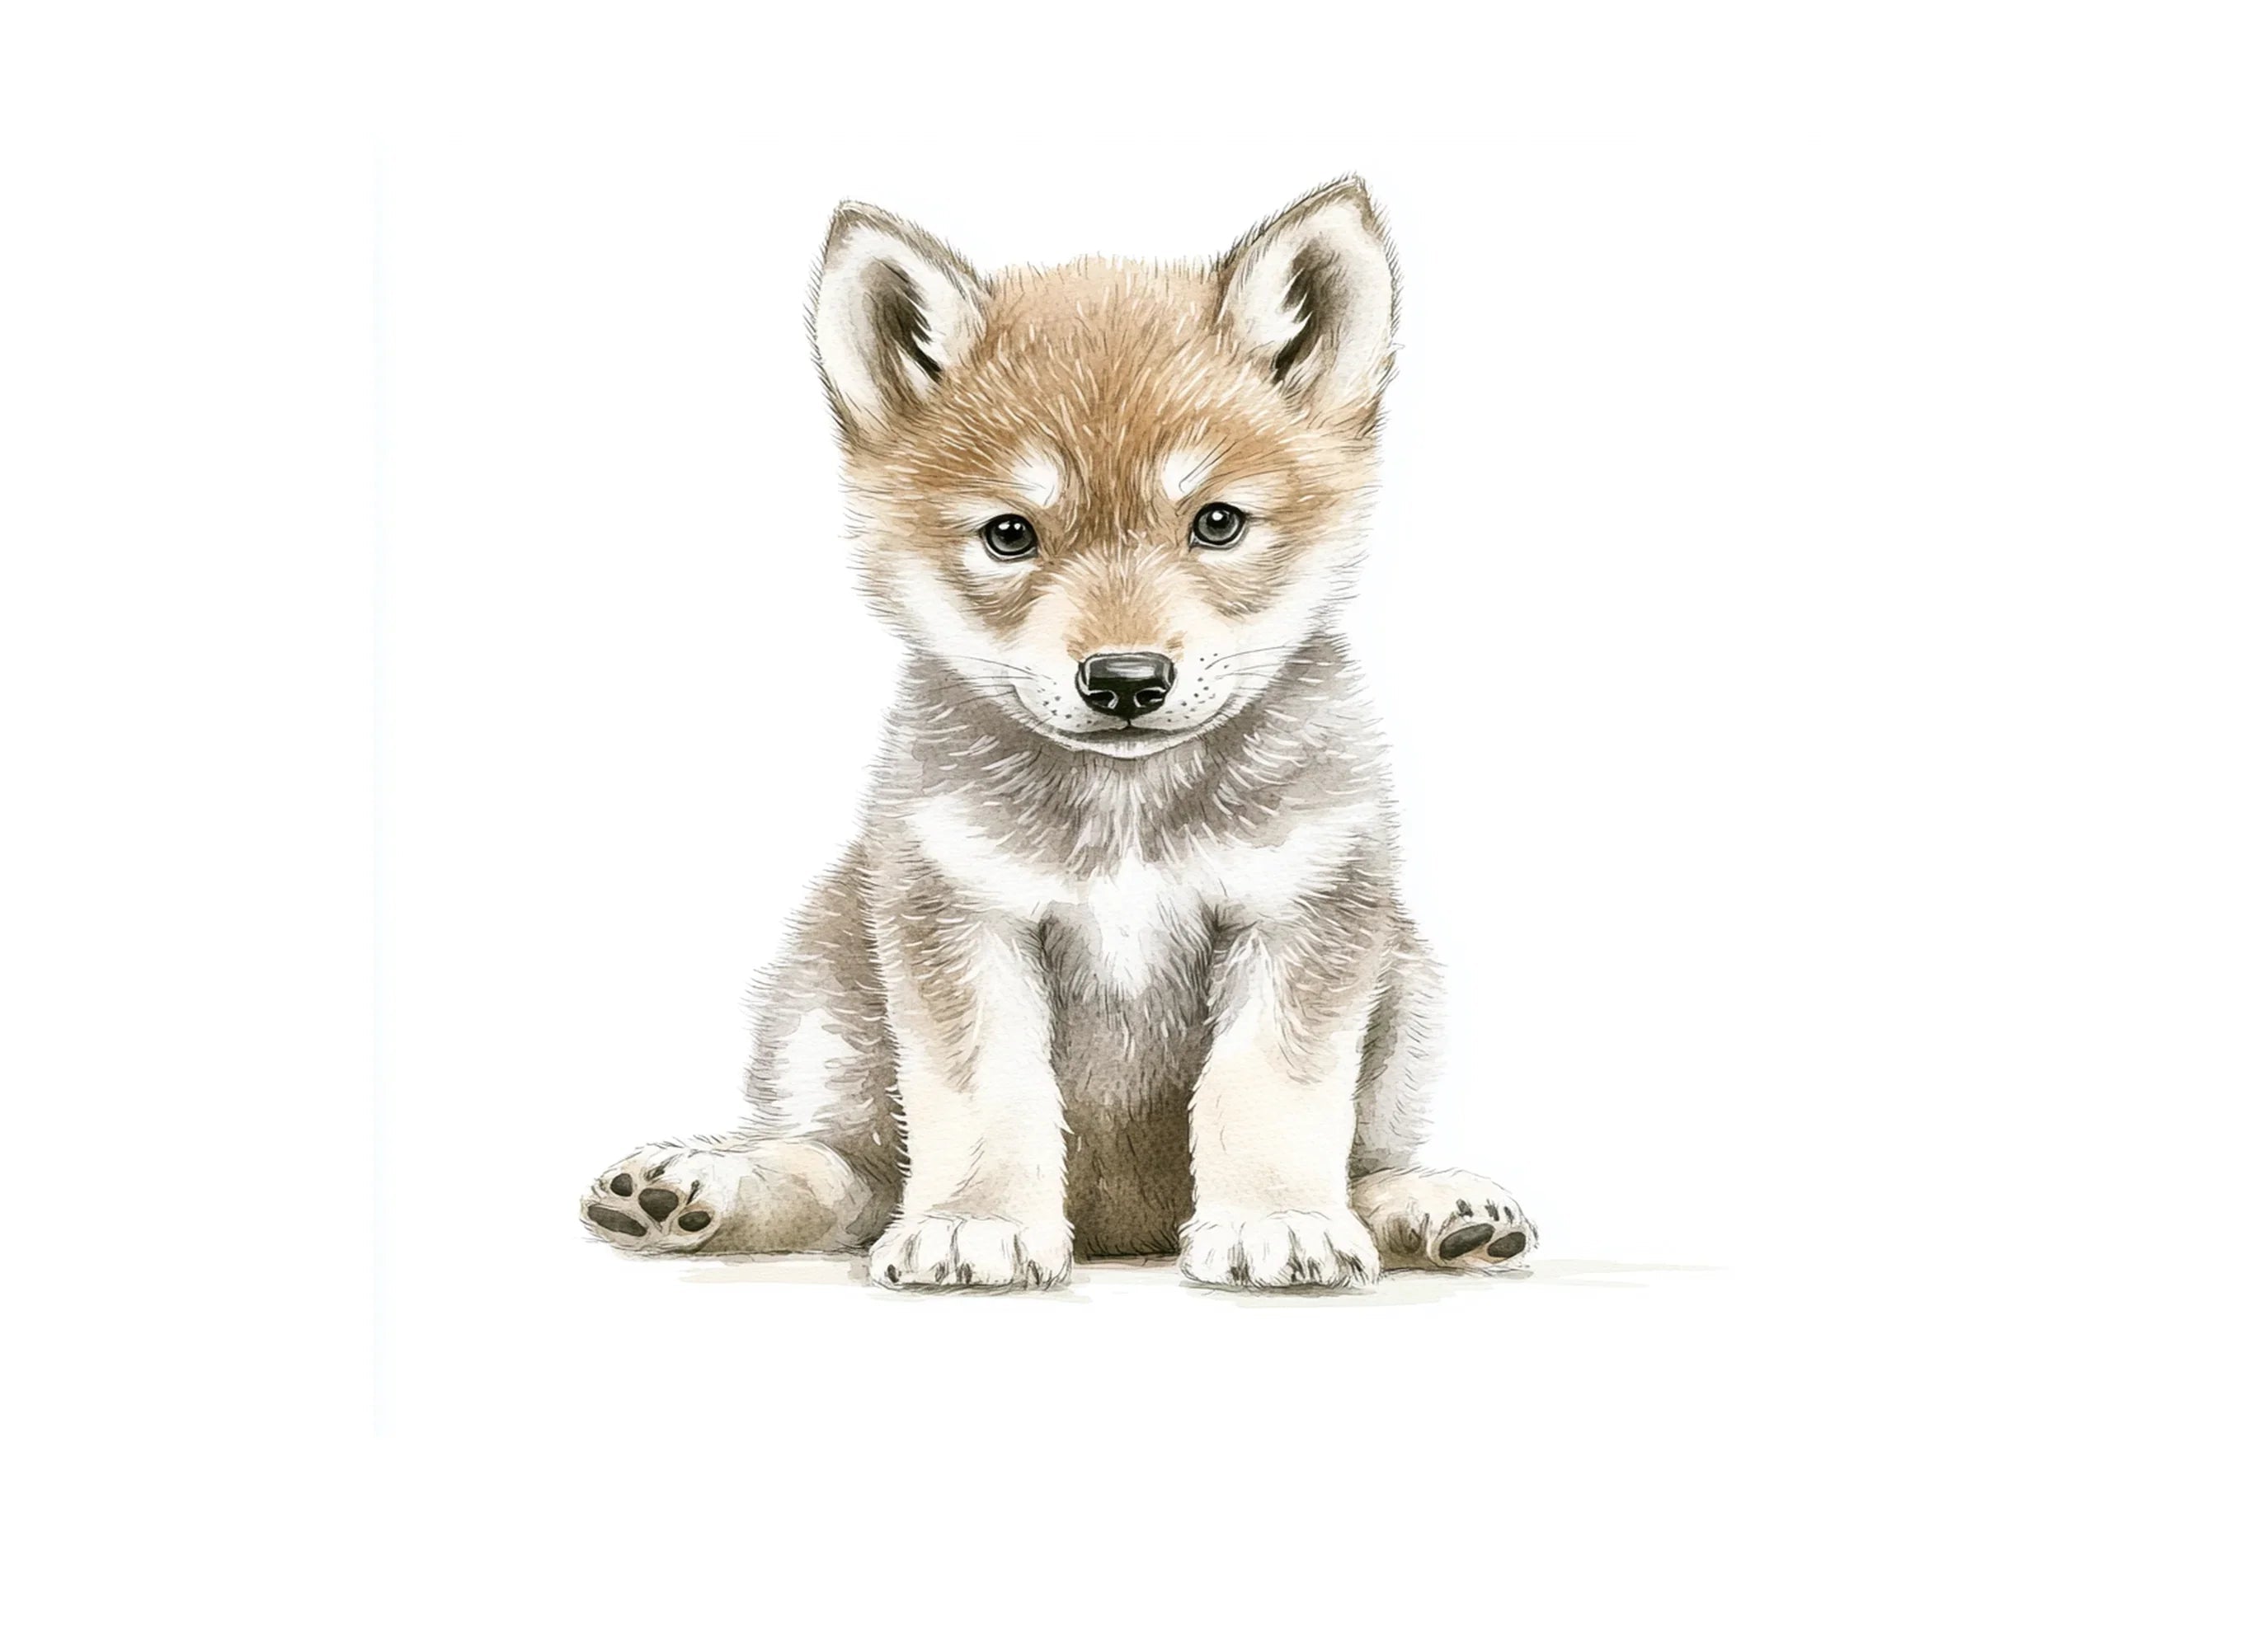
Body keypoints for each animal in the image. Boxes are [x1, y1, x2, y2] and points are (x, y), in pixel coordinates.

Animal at [579, 179, 1537, 1289]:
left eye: (1216, 523)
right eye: (1009, 534)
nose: (1125, 679)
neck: (1126, 809)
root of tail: (1127, 1228)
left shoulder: (1301, 913)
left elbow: (1269, 1092)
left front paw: (1274, 1219)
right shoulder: (961, 917)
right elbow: (982, 1097)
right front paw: (976, 1222)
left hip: (1408, 983)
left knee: (1368, 1156)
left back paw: (1432, 1208)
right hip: (825, 990)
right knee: (845, 1175)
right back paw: (693, 1186)